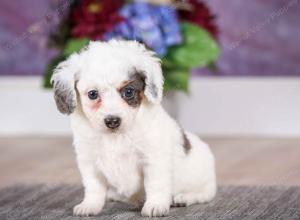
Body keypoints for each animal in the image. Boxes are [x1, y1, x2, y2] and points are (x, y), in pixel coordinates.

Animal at [51, 39, 216, 217]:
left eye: (129, 92)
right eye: (92, 94)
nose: (112, 121)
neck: (115, 137)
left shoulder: (153, 159)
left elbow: (156, 185)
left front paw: (155, 205)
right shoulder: (89, 162)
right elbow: (93, 187)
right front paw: (90, 205)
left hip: (205, 181)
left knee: (205, 194)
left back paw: (184, 197)